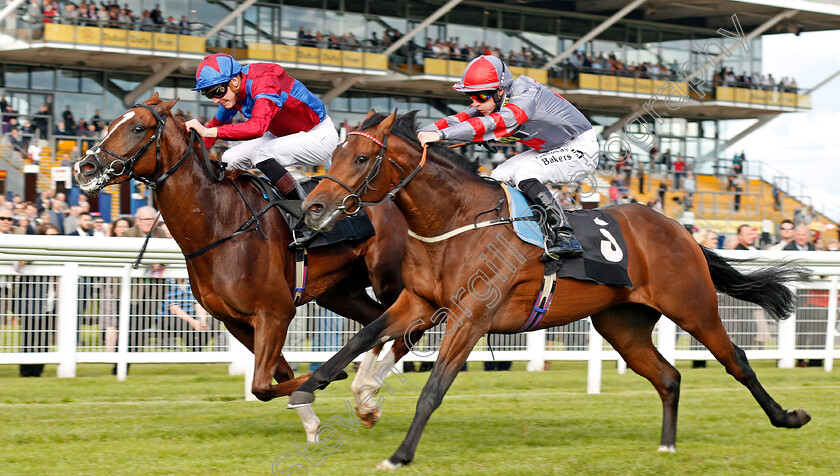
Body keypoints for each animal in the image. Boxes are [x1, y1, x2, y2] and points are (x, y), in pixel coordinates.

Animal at [74, 96, 408, 436]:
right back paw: (365, 396)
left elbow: (261, 385)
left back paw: (366, 389)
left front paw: (326, 379)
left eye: (138, 128)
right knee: (378, 325)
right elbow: (276, 378)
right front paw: (312, 421)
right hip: (341, 292)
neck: (220, 222)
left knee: (409, 326)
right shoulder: (235, 321)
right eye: (112, 122)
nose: (84, 168)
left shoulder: (275, 312)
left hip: (390, 281)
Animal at [288, 110, 808, 468]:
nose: (313, 209)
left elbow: (433, 389)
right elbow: (356, 342)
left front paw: (399, 455)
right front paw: (306, 397)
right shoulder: (418, 303)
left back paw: (787, 417)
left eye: (360, 158)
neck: (456, 222)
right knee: (669, 377)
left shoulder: (470, 316)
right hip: (623, 325)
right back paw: (666, 444)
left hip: (693, 306)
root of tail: (679, 229)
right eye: (332, 156)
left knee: (735, 359)